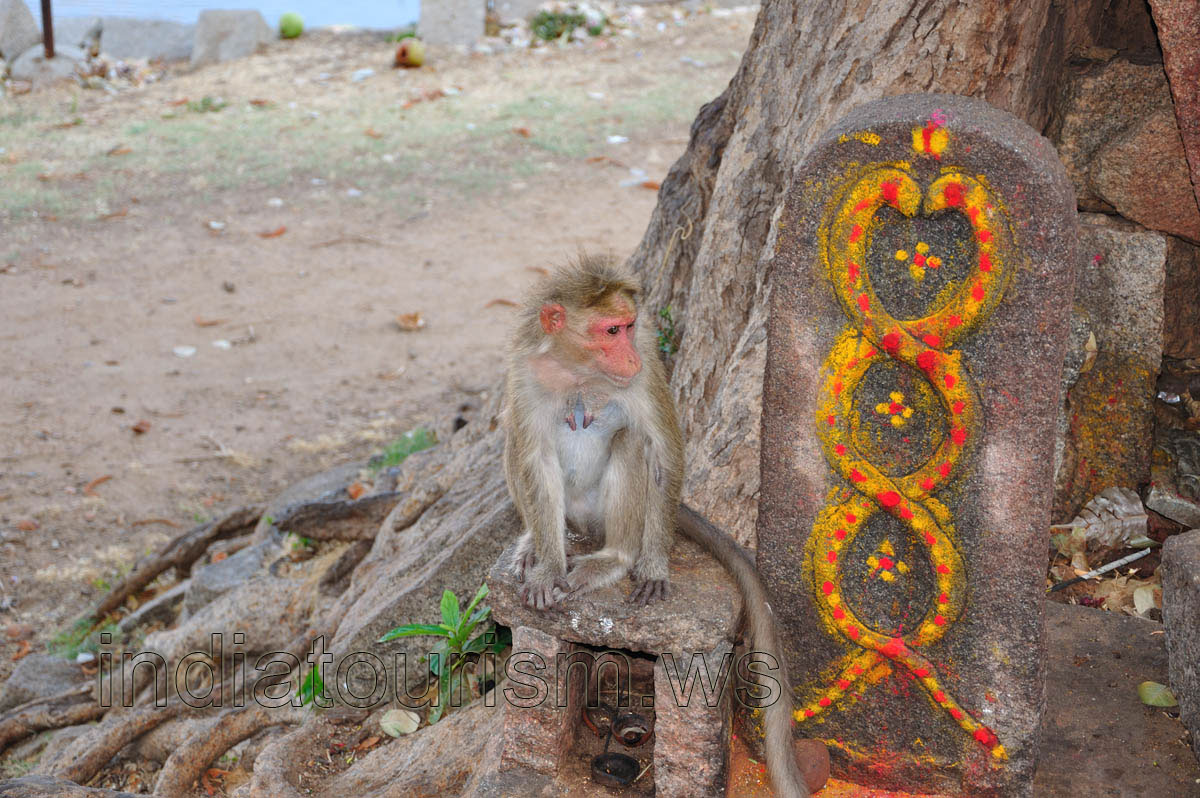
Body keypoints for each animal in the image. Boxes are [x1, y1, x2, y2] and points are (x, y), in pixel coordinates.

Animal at [502, 255, 813, 798]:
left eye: (629, 327)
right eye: (611, 330)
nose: (627, 353)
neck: (579, 370)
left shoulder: (648, 359)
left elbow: (663, 451)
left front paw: (651, 565)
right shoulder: (524, 368)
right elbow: (534, 456)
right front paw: (545, 570)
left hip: (619, 516)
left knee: (632, 442)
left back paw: (617, 559)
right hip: (573, 514)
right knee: (516, 442)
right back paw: (537, 544)